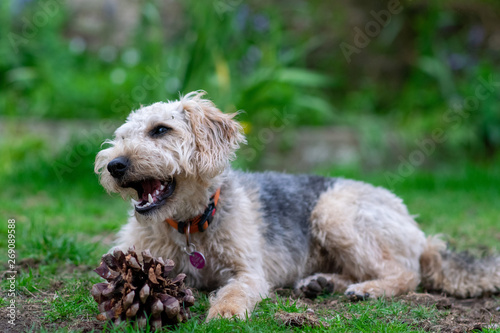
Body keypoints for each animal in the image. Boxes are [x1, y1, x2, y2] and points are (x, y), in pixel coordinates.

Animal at [94, 91, 500, 320]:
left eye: (160, 130)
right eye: (121, 137)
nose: (114, 166)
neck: (188, 225)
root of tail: (418, 231)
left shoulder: (248, 271)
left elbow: (234, 292)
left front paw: (225, 312)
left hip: (333, 213)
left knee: (407, 273)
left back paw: (367, 289)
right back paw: (323, 282)